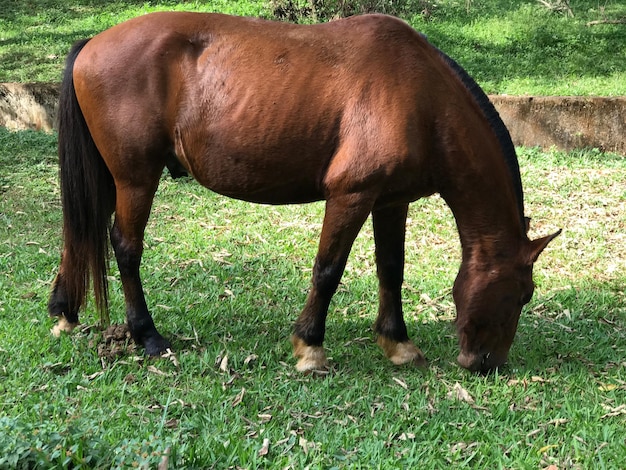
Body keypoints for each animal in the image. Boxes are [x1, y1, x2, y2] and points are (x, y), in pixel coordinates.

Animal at [47, 11, 556, 372]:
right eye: (523, 295)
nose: (486, 364)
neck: (420, 96)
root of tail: (92, 44)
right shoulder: (351, 195)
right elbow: (328, 270)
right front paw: (310, 347)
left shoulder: (391, 201)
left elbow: (391, 270)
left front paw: (398, 343)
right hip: (136, 179)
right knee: (125, 247)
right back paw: (147, 335)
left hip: (112, 178)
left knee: (81, 233)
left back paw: (65, 311)